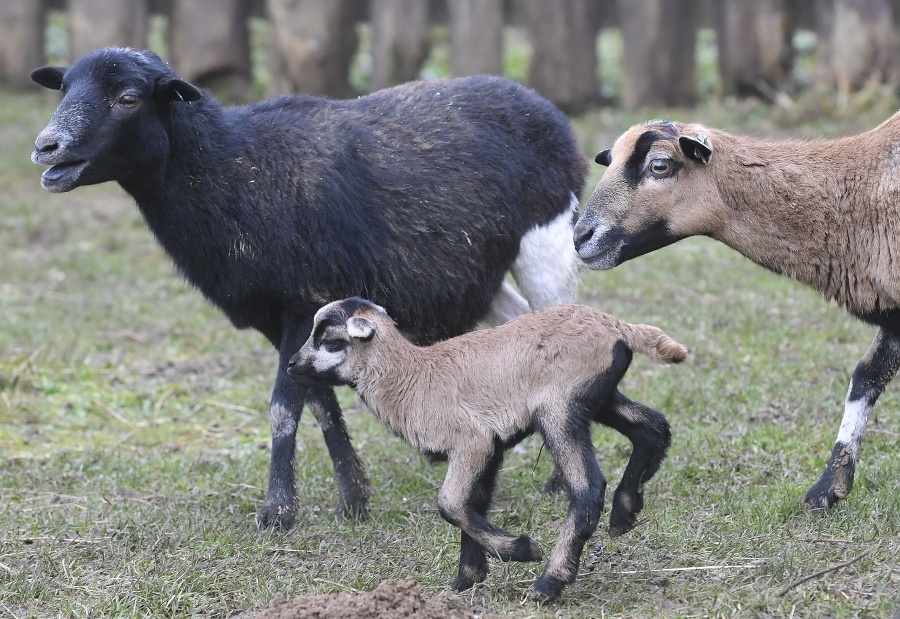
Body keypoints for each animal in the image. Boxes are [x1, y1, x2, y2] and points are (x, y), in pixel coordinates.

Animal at [29, 48, 592, 532]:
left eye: (127, 98)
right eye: (65, 89)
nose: (45, 148)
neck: (231, 169)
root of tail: (540, 103)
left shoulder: (303, 301)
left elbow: (284, 408)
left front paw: (277, 513)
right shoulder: (280, 318)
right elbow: (322, 404)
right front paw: (354, 501)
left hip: (547, 243)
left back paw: (560, 481)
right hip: (480, 272)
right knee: (517, 330)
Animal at [284, 298, 684, 600]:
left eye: (329, 339)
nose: (291, 365)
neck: (411, 379)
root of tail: (616, 326)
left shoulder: (471, 441)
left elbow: (449, 504)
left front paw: (521, 550)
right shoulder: (491, 448)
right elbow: (472, 504)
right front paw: (466, 580)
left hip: (559, 407)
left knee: (588, 487)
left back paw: (549, 583)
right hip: (597, 397)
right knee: (652, 428)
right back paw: (625, 512)